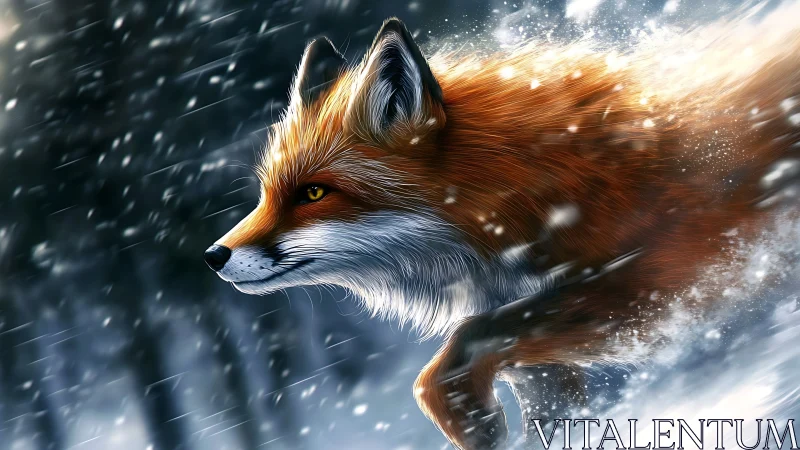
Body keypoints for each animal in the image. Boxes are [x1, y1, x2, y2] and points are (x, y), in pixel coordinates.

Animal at [204, 13, 800, 450]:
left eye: (313, 193)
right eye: (267, 193)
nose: (213, 256)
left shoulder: (655, 280)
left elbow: (462, 345)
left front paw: (468, 419)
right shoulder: (543, 365)